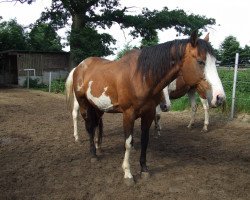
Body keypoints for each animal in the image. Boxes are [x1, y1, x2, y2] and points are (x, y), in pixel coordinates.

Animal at [65, 31, 225, 186]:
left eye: (215, 62)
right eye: (200, 61)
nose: (220, 97)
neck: (140, 77)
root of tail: (79, 67)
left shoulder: (148, 113)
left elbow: (145, 140)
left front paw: (144, 169)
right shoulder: (128, 114)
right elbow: (128, 143)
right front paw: (128, 173)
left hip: (97, 107)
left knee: (97, 124)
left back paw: (99, 147)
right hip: (84, 105)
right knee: (89, 127)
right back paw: (93, 153)